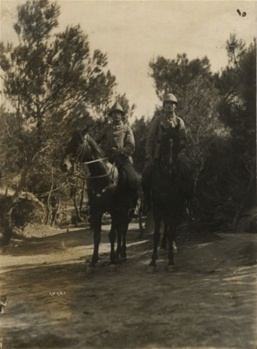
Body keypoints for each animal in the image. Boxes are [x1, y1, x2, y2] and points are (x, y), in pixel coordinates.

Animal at [62, 130, 132, 266]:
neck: (102, 177)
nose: (64, 165)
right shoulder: (97, 211)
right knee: (120, 230)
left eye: (78, 143)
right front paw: (93, 261)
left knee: (123, 229)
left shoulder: (114, 210)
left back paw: (123, 253)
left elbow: (112, 235)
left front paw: (112, 259)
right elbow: (96, 237)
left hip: (125, 210)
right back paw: (118, 252)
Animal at [148, 136, 192, 270]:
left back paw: (172, 245)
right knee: (167, 225)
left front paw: (171, 261)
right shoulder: (157, 207)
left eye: (178, 143)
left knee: (173, 226)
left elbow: (172, 230)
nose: (170, 169)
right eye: (162, 142)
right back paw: (163, 245)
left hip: (178, 207)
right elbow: (157, 233)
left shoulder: (174, 206)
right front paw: (153, 261)